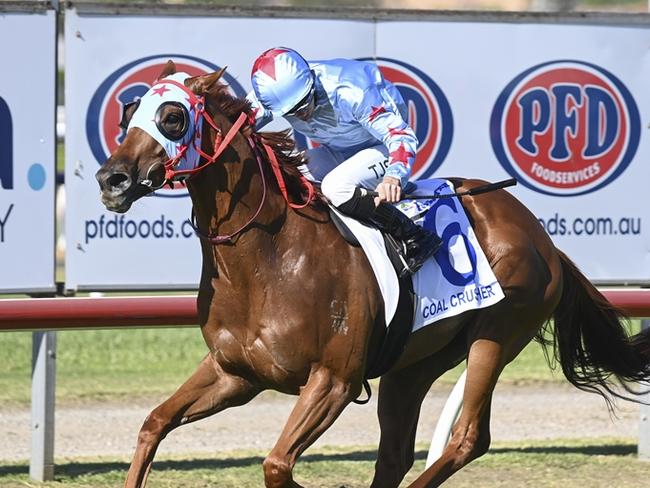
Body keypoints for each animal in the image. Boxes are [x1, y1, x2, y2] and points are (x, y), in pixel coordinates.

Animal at [93, 62, 644, 488]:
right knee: (396, 454)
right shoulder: (235, 373)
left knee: (467, 438)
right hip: (413, 364)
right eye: (129, 112)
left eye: (172, 116)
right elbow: (153, 424)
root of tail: (540, 235)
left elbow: (276, 465)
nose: (111, 179)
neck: (268, 259)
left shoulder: (334, 381)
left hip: (496, 335)